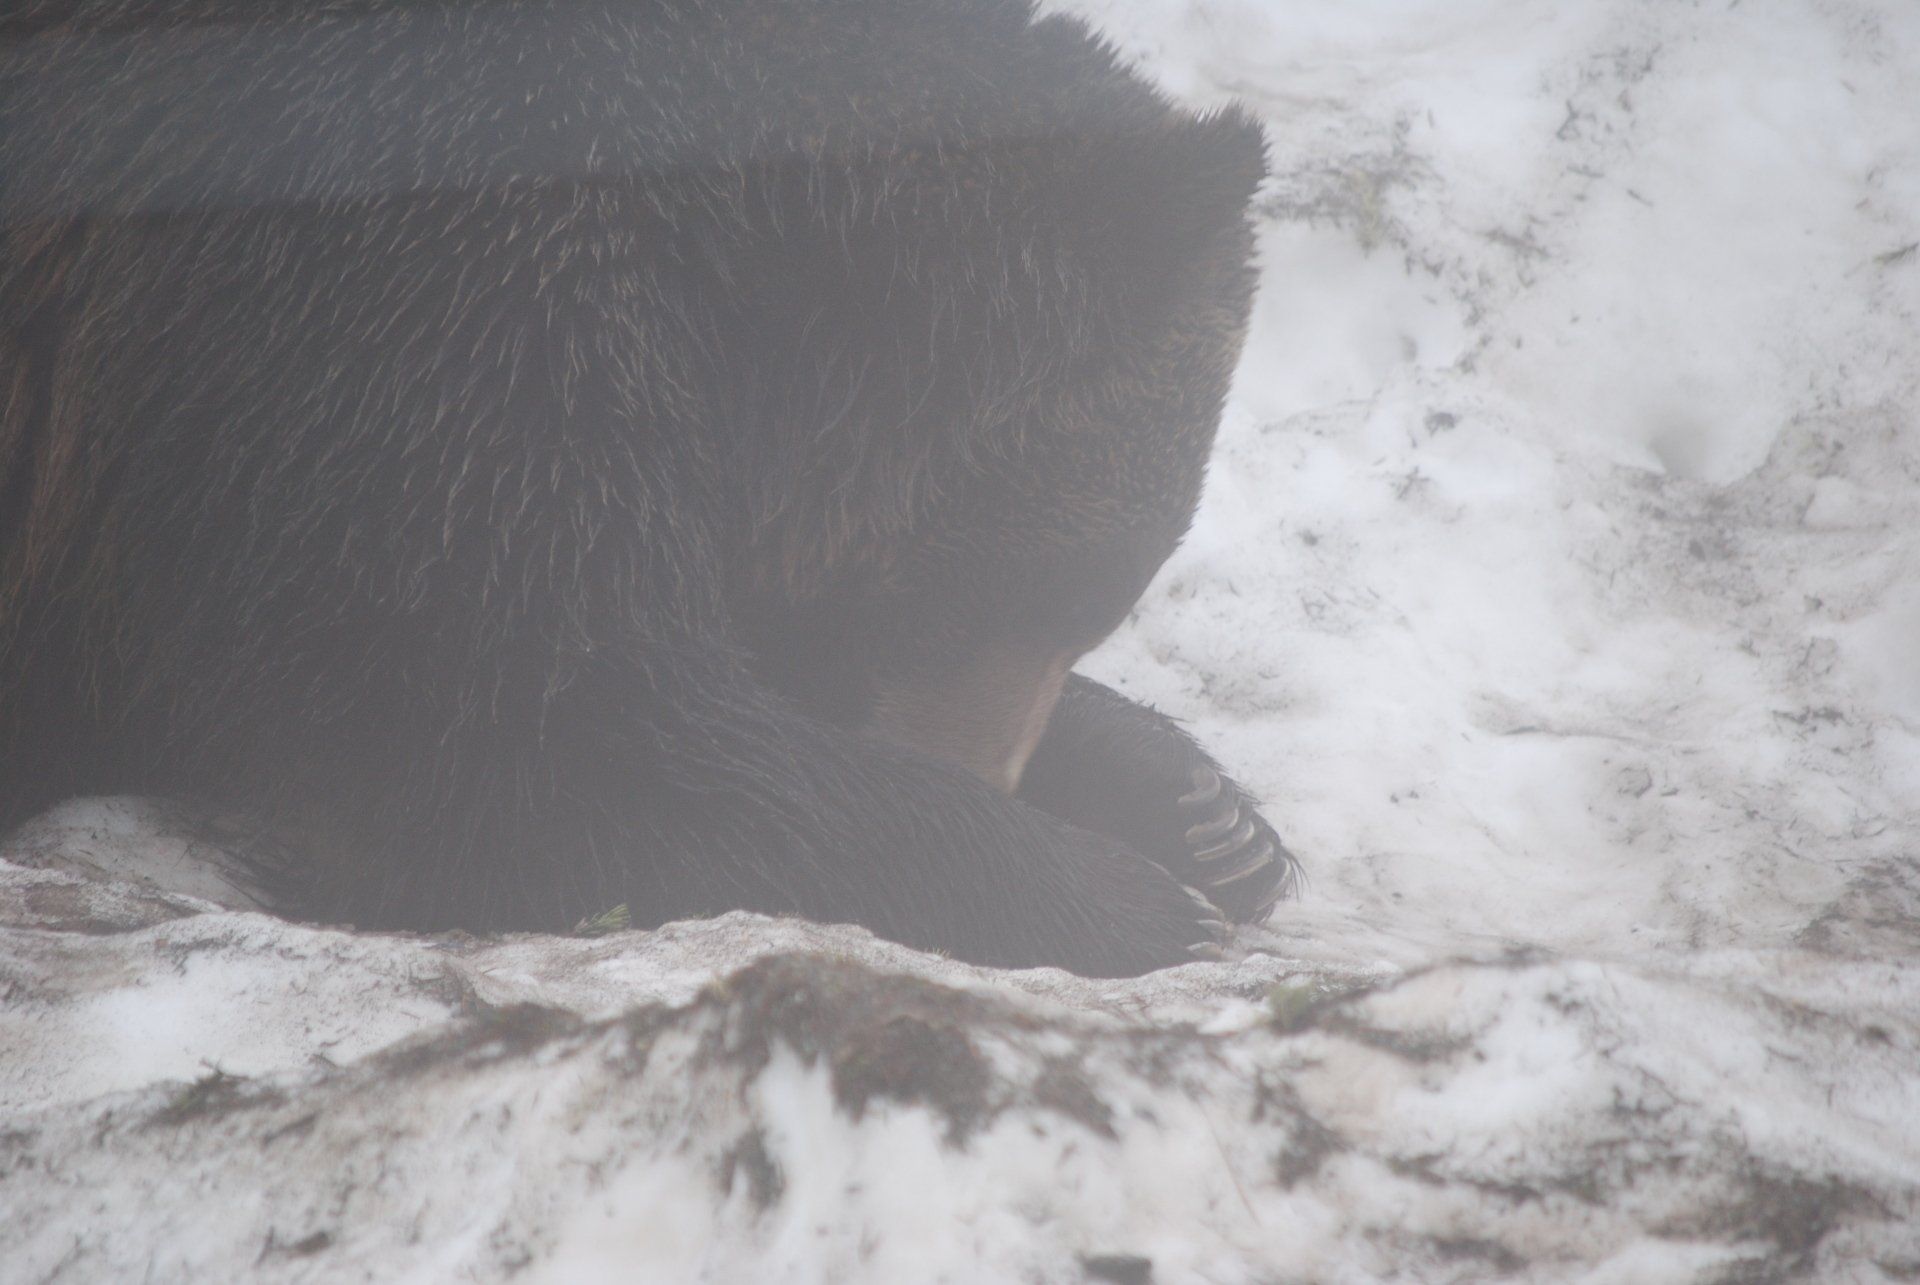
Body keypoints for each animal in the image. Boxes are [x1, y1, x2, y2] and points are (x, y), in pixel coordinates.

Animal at [0, 0, 1296, 976]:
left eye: (1092, 610)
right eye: (1017, 589)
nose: (994, 774)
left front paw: (1204, 812)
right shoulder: (391, 277)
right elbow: (515, 721)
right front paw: (1124, 896)